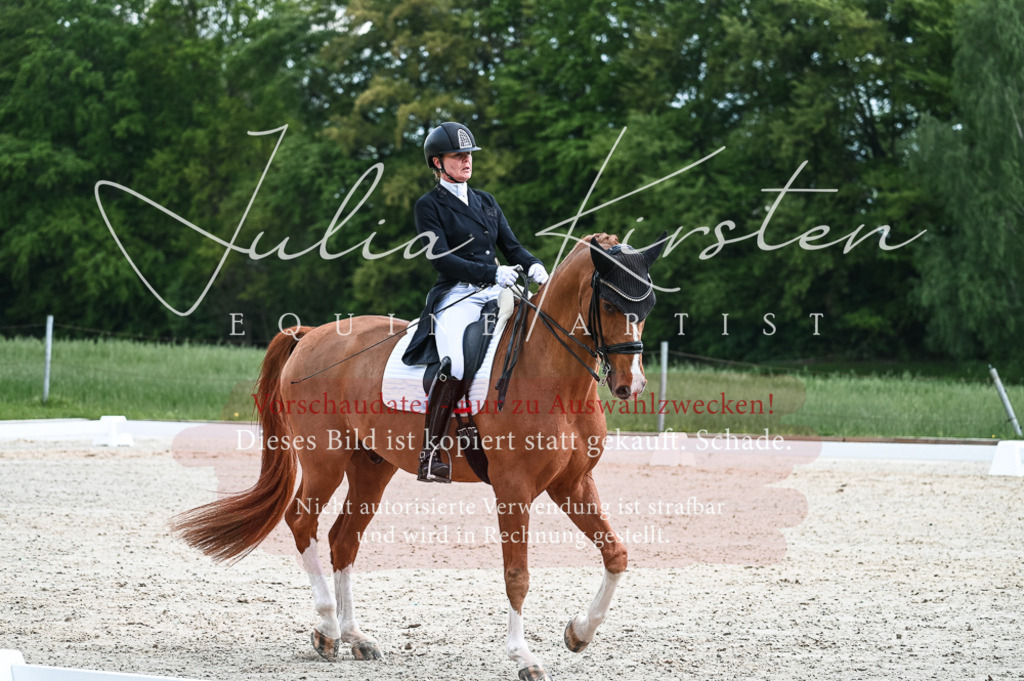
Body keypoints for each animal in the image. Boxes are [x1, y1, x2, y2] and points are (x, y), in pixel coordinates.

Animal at [171, 231, 667, 681]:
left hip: (371, 468)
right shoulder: (514, 489)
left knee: (343, 539)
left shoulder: (572, 483)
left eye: (647, 308)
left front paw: (579, 633)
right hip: (324, 459)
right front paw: (524, 658)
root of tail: (311, 335)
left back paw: (356, 637)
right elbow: (517, 574)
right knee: (301, 521)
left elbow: (616, 553)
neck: (551, 375)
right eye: (609, 306)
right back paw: (327, 630)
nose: (631, 385)